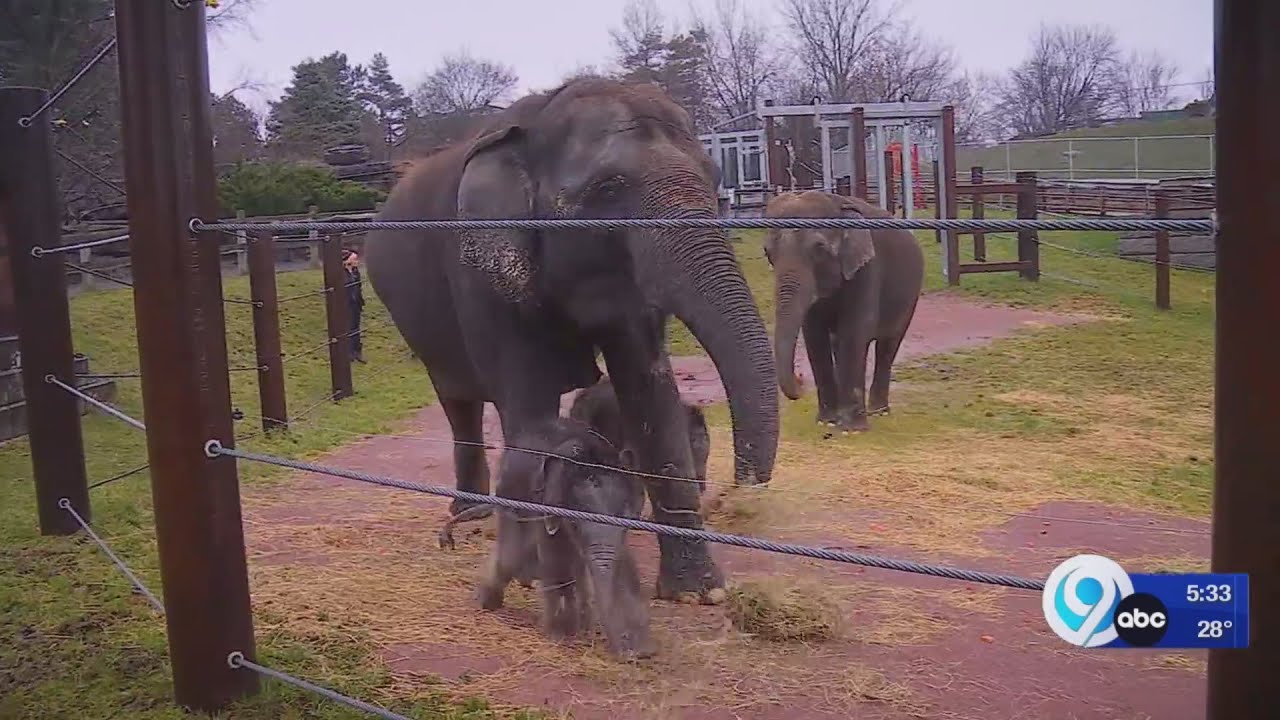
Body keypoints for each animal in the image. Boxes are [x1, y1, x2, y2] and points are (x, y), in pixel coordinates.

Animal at [475, 416, 655, 659]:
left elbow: (623, 563)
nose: (628, 652)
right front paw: (559, 636)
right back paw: (487, 602)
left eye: (628, 516)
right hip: (509, 492)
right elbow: (555, 562)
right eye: (575, 522)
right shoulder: (546, 503)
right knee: (513, 555)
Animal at [762, 191, 924, 432]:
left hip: (910, 295)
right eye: (767, 253)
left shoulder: (868, 268)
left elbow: (855, 330)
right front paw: (827, 422)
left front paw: (852, 429)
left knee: (888, 345)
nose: (800, 378)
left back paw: (879, 412)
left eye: (819, 248)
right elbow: (814, 336)